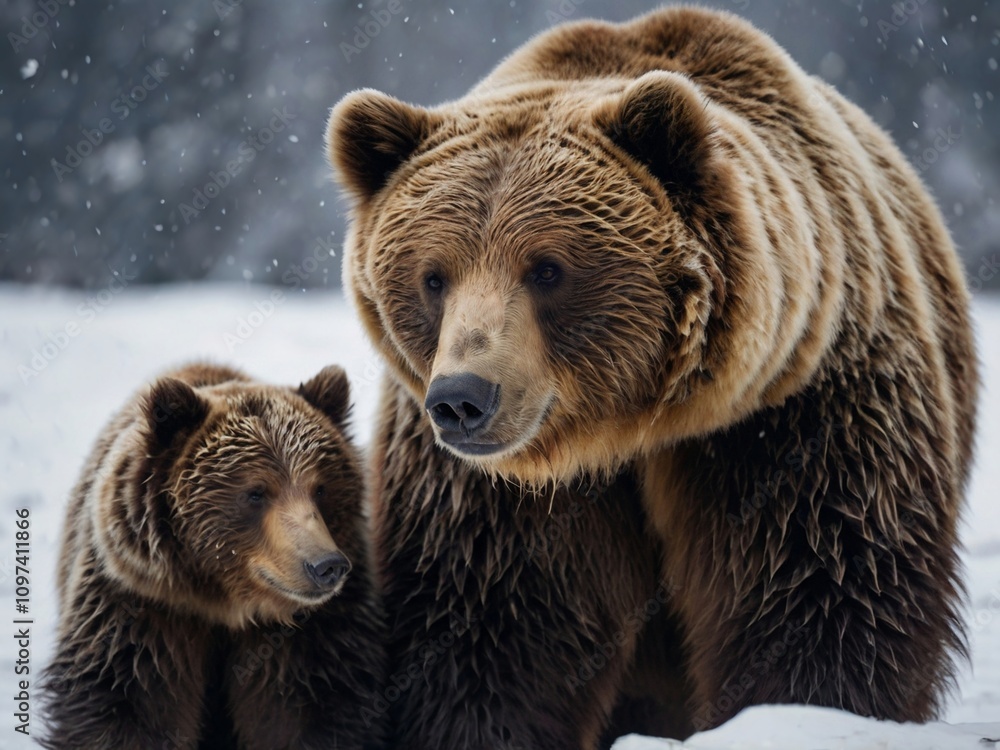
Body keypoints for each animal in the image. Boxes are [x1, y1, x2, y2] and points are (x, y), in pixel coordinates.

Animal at [40, 363, 386, 750]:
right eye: (256, 492)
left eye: (321, 488)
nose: (326, 565)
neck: (224, 602)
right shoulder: (141, 605)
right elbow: (123, 705)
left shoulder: (314, 634)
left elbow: (317, 708)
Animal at [326, 6, 977, 750]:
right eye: (433, 277)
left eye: (547, 269)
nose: (463, 399)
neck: (628, 430)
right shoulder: (489, 493)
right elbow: (493, 626)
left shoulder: (794, 412)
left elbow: (822, 585)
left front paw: (804, 710)